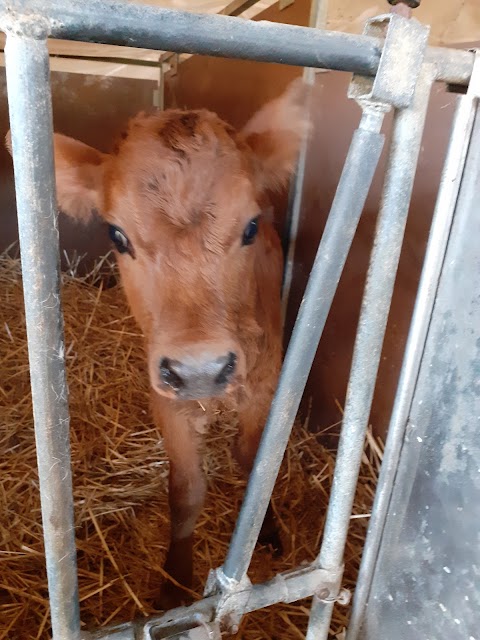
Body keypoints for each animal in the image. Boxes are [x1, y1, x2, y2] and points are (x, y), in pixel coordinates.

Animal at [6, 77, 308, 608]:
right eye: (117, 234)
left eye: (250, 226)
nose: (201, 370)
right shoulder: (165, 395)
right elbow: (185, 490)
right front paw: (174, 586)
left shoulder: (265, 381)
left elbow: (256, 460)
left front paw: (265, 531)